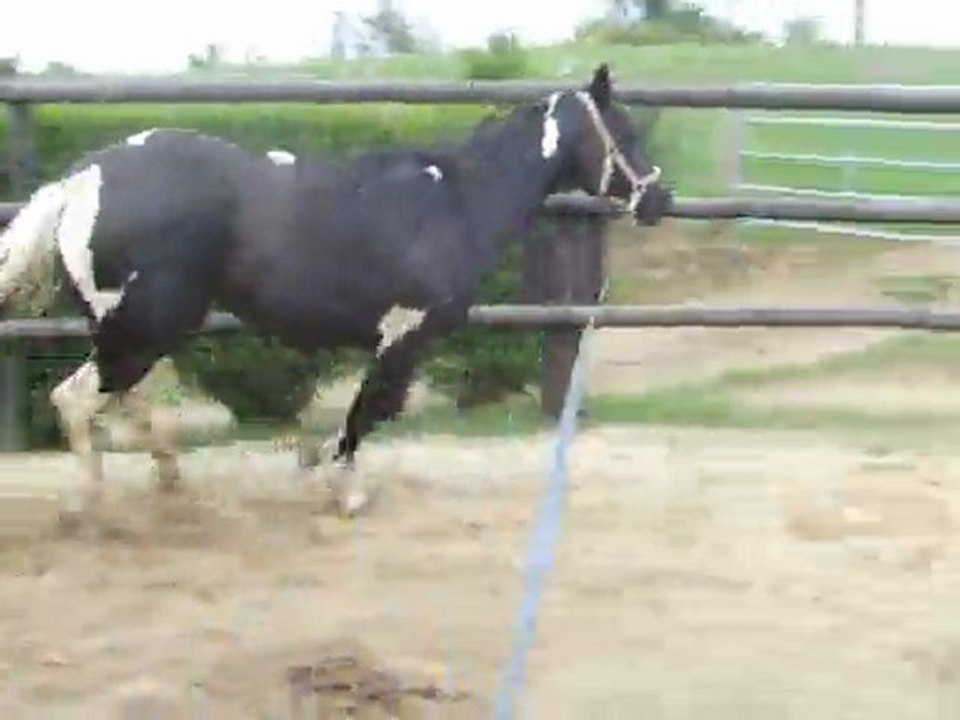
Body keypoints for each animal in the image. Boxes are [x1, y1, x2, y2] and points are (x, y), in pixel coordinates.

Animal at [0, 63, 671, 523]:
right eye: (624, 130)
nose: (660, 201)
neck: (453, 203)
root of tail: (82, 179)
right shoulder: (405, 333)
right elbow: (372, 407)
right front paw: (342, 485)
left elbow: (372, 408)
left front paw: (314, 464)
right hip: (151, 319)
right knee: (76, 398)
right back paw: (85, 502)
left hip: (131, 322)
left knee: (119, 396)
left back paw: (169, 478)